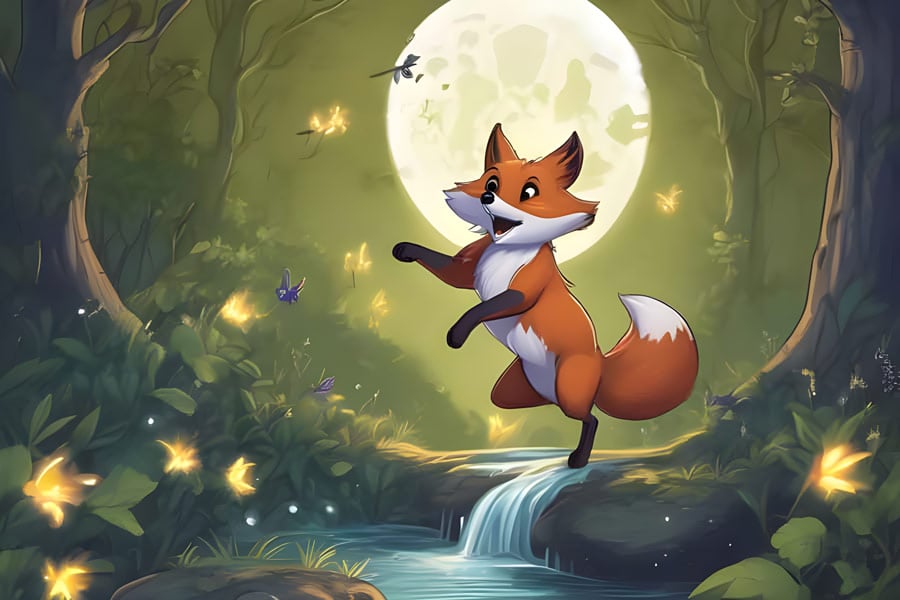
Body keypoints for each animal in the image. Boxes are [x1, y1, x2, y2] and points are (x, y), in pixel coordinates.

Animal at [392, 124, 699, 468]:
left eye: (529, 192)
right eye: (491, 183)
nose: (487, 196)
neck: (506, 251)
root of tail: (602, 364)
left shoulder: (524, 290)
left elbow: (486, 307)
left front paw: (457, 333)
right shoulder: (465, 272)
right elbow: (443, 267)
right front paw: (405, 250)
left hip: (568, 389)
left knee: (592, 418)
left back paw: (578, 459)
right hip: (513, 391)